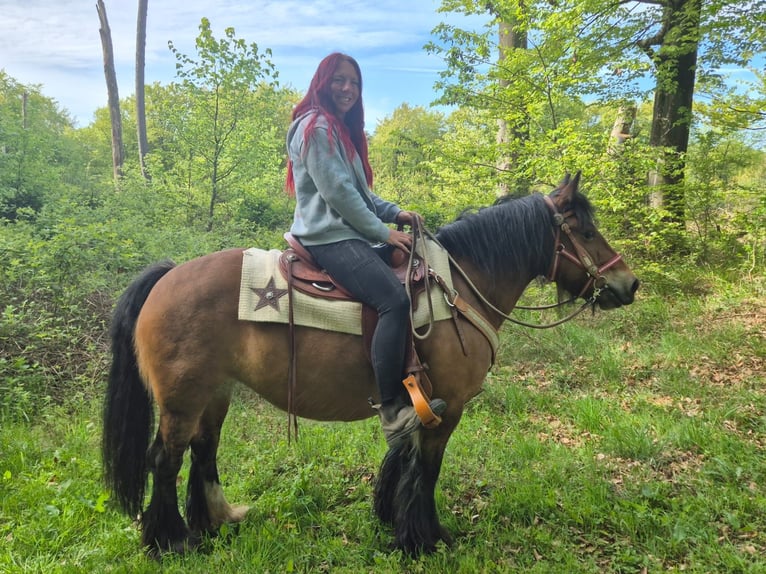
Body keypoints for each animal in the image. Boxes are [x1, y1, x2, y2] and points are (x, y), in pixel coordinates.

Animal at [102, 172, 639, 557]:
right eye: (586, 230)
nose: (629, 284)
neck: (459, 287)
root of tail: (167, 276)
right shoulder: (449, 407)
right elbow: (427, 468)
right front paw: (425, 538)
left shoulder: (417, 400)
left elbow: (401, 455)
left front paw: (391, 518)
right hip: (182, 398)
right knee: (165, 460)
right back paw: (171, 541)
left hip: (215, 393)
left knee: (203, 451)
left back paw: (214, 522)